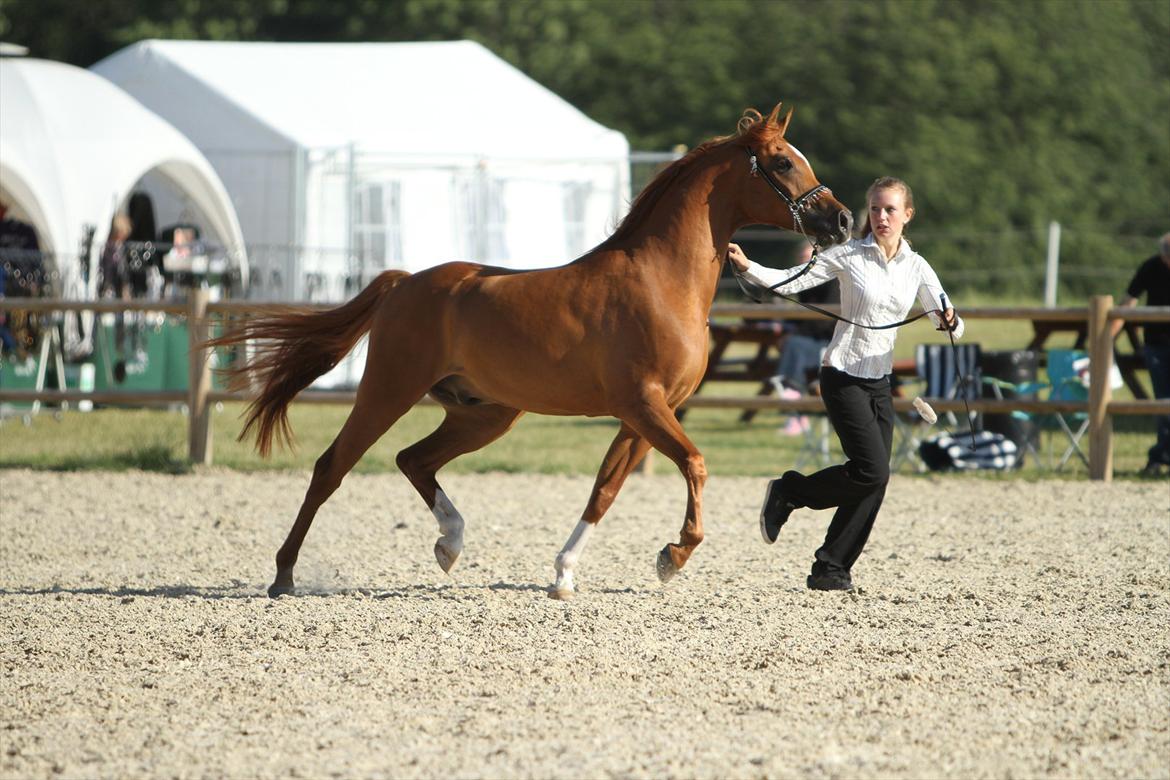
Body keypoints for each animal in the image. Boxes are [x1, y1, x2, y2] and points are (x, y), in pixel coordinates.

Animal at [210, 103, 851, 598]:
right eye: (783, 162)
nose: (842, 220)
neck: (661, 280)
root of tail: (404, 282)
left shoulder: (643, 416)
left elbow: (604, 490)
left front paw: (564, 576)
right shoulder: (644, 406)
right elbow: (694, 464)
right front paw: (672, 556)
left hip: (487, 413)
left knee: (414, 460)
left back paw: (449, 545)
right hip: (389, 391)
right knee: (332, 467)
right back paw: (284, 576)